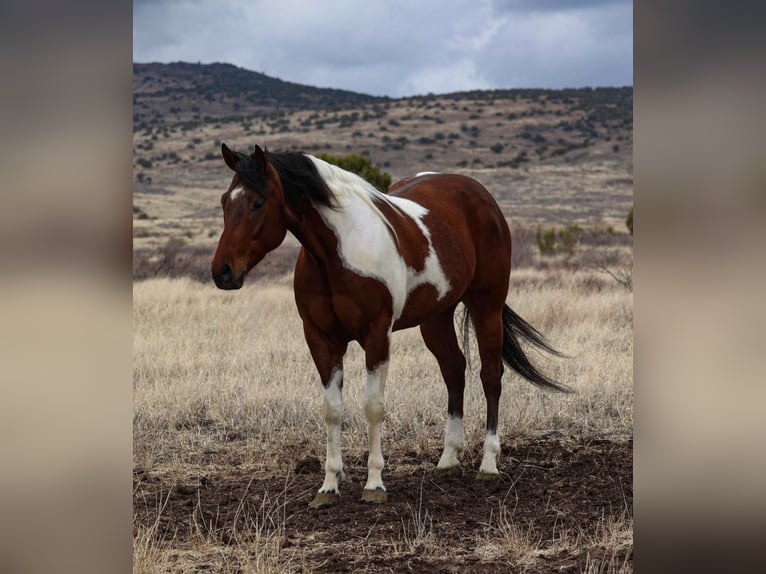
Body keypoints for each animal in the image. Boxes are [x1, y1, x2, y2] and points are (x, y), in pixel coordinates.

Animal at [210, 144, 568, 508]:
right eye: (225, 201)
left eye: (257, 203)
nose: (222, 272)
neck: (336, 254)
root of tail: (479, 194)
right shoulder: (320, 338)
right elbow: (332, 410)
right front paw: (329, 486)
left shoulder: (376, 336)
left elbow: (373, 408)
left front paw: (374, 484)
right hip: (436, 317)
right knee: (454, 371)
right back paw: (447, 460)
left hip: (487, 306)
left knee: (490, 376)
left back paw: (488, 464)